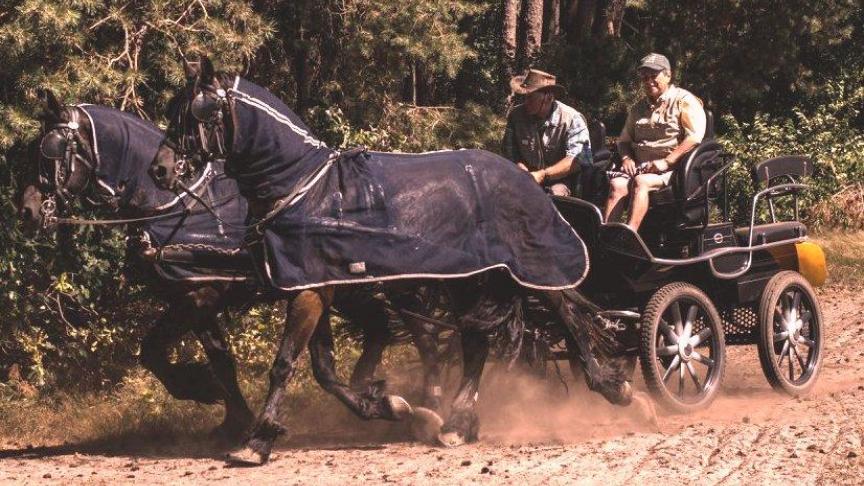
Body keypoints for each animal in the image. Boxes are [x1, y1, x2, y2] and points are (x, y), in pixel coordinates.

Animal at [16, 92, 452, 444]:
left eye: (50, 150)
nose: (28, 212)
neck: (176, 206)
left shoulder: (200, 294)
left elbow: (177, 355)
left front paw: (207, 392)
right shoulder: (191, 297)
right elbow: (198, 359)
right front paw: (229, 414)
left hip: (399, 284)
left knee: (426, 338)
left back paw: (433, 409)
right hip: (351, 289)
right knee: (380, 328)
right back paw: (376, 392)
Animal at [150, 55, 636, 466]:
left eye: (199, 114)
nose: (160, 170)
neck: (303, 190)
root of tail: (524, 179)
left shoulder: (311, 292)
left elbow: (286, 363)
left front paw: (256, 441)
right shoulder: (313, 286)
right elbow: (324, 370)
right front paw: (389, 406)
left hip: (524, 267)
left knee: (566, 311)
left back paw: (613, 387)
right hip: (467, 279)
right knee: (476, 342)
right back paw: (458, 422)